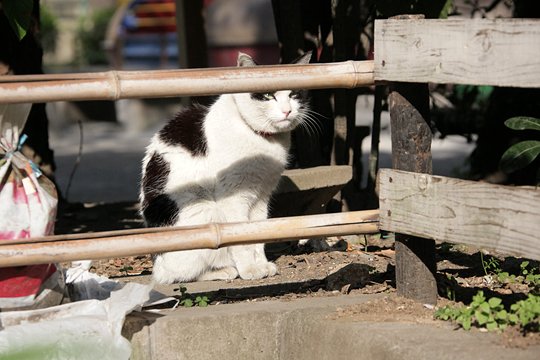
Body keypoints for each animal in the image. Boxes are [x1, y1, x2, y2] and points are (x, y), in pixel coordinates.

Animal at [139, 52, 310, 286]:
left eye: (293, 94)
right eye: (268, 95)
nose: (287, 110)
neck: (262, 140)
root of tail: (155, 260)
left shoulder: (262, 196)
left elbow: (257, 234)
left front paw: (262, 264)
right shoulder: (233, 197)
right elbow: (240, 238)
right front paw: (250, 270)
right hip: (204, 210)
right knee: (176, 275)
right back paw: (224, 271)